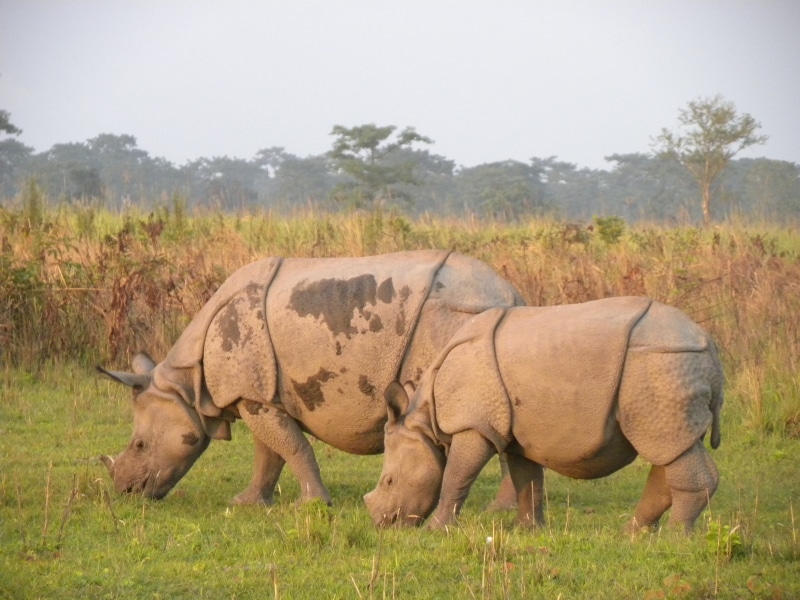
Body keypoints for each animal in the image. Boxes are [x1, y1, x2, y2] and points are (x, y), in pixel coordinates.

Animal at [98, 250, 523, 506]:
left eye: (139, 445)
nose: (126, 491)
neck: (186, 382)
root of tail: (511, 294)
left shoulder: (251, 394)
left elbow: (292, 447)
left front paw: (313, 504)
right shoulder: (259, 394)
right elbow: (269, 453)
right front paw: (248, 503)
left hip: (455, 316)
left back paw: (497, 509)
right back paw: (503, 510)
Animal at [364, 297, 724, 532]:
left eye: (389, 480)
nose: (383, 523)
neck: (426, 422)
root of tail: (709, 345)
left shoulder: (474, 425)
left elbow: (456, 476)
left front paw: (437, 530)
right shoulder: (516, 434)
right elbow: (527, 479)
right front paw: (526, 530)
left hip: (661, 364)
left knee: (668, 448)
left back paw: (675, 538)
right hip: (669, 371)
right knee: (672, 448)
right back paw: (634, 535)